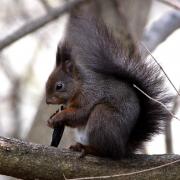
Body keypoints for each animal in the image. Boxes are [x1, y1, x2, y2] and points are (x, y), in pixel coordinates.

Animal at [45, 16, 172, 158]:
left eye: (59, 86)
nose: (47, 101)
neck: (80, 85)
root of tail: (122, 148)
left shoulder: (90, 96)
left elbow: (79, 114)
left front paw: (58, 117)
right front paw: (51, 120)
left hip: (102, 117)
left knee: (106, 151)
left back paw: (86, 148)